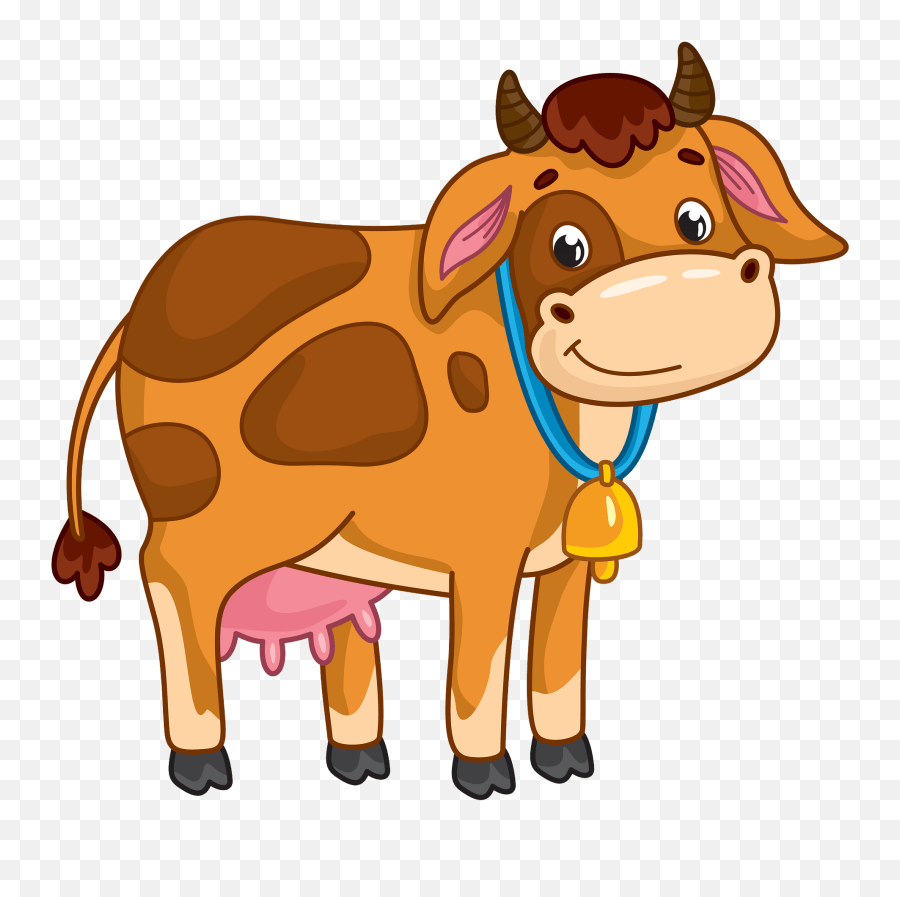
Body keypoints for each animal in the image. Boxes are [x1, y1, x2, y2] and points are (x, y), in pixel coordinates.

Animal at [51, 44, 847, 799]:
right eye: (568, 243)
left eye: (696, 216)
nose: (684, 293)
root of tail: (139, 310)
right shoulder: (483, 550)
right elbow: (480, 666)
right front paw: (485, 774)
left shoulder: (564, 559)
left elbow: (558, 659)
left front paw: (566, 760)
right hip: (212, 512)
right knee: (170, 576)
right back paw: (201, 763)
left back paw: (360, 759)